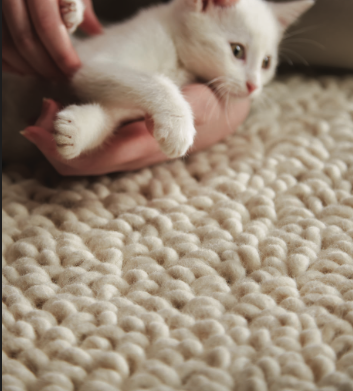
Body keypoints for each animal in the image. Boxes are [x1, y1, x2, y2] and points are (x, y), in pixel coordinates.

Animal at [55, 0, 314, 161]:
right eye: (237, 50)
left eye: (266, 63)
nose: (254, 86)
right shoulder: (94, 64)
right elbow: (154, 81)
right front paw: (177, 125)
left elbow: (109, 116)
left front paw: (76, 130)